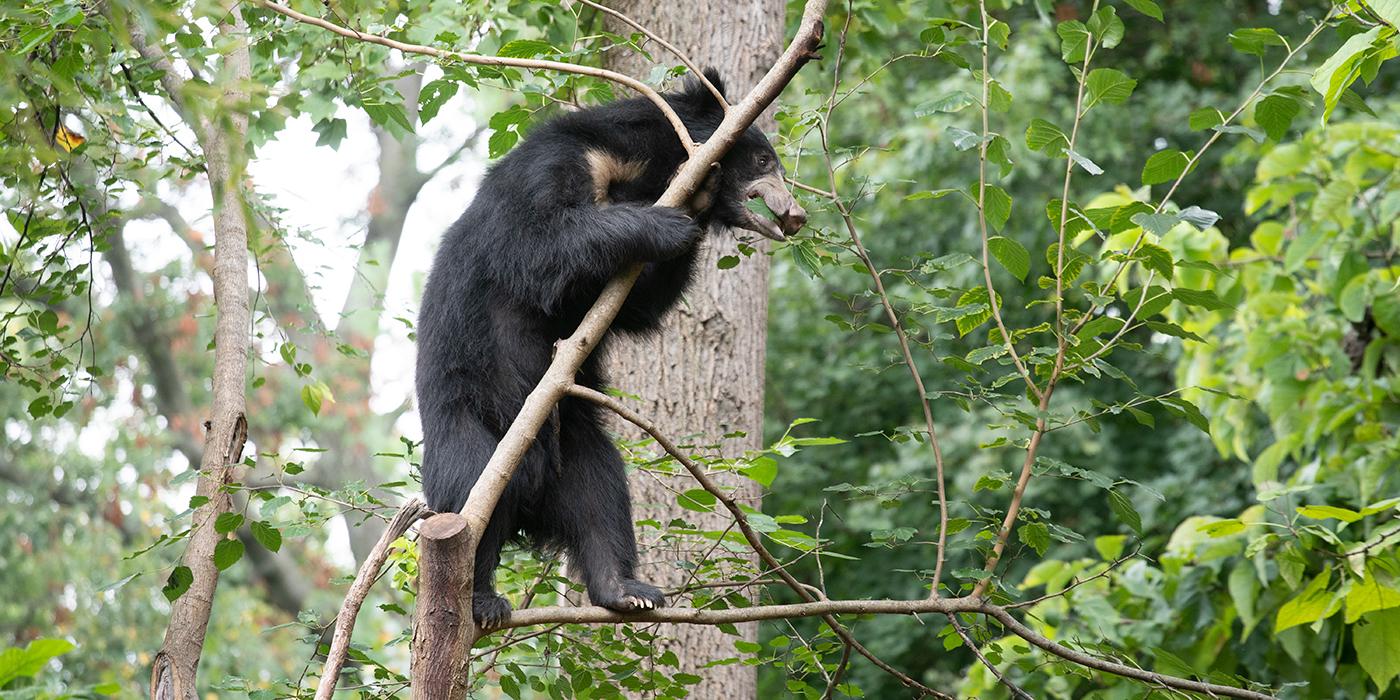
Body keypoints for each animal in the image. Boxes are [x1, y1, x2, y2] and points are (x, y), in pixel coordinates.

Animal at [414, 71, 806, 630]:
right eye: (762, 161)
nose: (795, 215)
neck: (632, 172)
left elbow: (632, 307)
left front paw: (696, 203)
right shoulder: (551, 168)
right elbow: (543, 242)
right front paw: (666, 223)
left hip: (576, 443)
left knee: (601, 499)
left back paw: (627, 591)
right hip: (472, 426)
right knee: (471, 498)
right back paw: (482, 601)